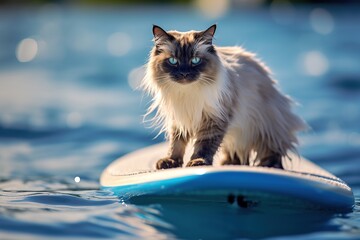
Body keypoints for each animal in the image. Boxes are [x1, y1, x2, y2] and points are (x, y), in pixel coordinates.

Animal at [142, 24, 306, 170]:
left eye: (195, 61)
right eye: (173, 61)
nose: (184, 74)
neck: (187, 93)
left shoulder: (213, 119)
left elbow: (204, 145)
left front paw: (198, 162)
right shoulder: (179, 119)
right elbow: (176, 144)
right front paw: (171, 162)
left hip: (265, 127)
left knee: (272, 152)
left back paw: (267, 166)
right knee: (237, 154)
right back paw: (229, 163)